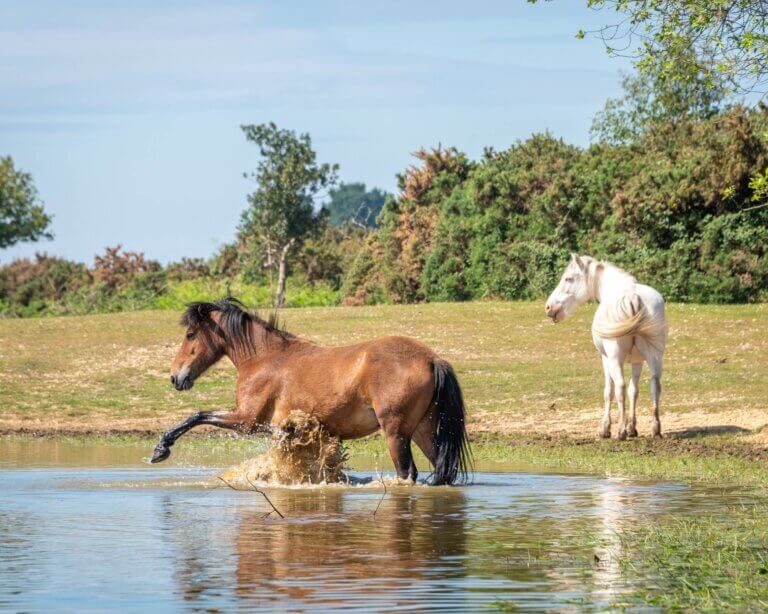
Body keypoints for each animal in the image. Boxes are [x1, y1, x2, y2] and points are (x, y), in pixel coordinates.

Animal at [151, 300, 472, 486]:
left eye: (190, 335)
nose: (175, 377)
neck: (264, 358)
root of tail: (432, 359)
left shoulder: (246, 421)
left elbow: (197, 416)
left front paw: (161, 449)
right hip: (422, 431)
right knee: (440, 471)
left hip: (396, 434)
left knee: (408, 474)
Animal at [544, 258, 664, 440]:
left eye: (568, 279)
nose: (549, 307)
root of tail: (633, 297)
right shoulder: (637, 361)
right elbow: (634, 391)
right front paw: (632, 428)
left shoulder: (605, 359)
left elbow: (609, 391)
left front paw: (606, 429)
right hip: (654, 356)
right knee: (654, 384)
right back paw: (655, 429)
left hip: (614, 359)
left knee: (620, 387)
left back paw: (620, 431)